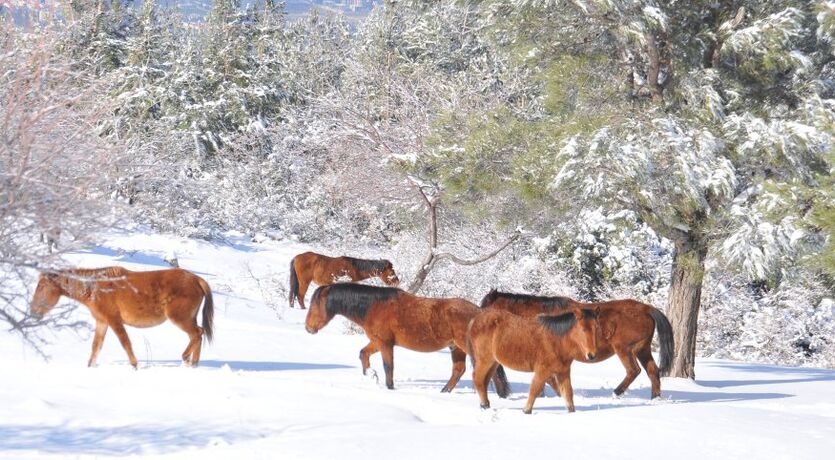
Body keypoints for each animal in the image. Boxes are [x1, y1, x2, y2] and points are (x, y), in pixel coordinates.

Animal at [31, 266, 216, 366]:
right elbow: (96, 347)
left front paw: (135, 366)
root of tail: (197, 279)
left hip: (179, 318)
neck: (95, 289)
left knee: (197, 333)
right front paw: (90, 367)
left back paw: (186, 359)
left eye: (41, 286)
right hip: (189, 318)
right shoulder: (102, 322)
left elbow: (125, 343)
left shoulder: (114, 320)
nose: (33, 312)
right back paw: (193, 364)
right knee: (197, 335)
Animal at [470, 310, 600, 414]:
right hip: (484, 361)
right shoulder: (542, 371)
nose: (591, 355)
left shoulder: (563, 372)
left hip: (493, 363)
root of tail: (475, 319)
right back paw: (484, 404)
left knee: (484, 381)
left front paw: (572, 412)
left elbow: (568, 393)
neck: (557, 341)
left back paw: (486, 404)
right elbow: (535, 389)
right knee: (478, 378)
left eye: (595, 328)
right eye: (583, 329)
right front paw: (527, 410)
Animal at [480, 288, 676, 398]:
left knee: (633, 371)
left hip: (624, 349)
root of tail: (647, 308)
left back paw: (616, 392)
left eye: (484, 305)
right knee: (653, 372)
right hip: (643, 350)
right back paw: (655, 398)